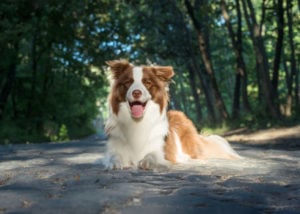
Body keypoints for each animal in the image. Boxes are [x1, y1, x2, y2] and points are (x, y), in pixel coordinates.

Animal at [103, 59, 241, 170]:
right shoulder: (116, 146)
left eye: (147, 83)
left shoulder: (163, 150)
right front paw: (114, 162)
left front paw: (148, 161)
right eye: (128, 82)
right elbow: (114, 155)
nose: (136, 92)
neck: (137, 122)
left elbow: (153, 154)